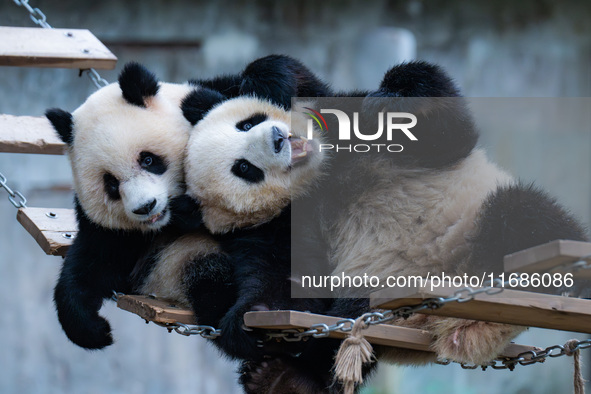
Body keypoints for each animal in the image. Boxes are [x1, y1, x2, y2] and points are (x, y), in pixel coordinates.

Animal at [46, 63, 198, 350]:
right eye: (112, 183)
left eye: (148, 159)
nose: (146, 207)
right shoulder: (111, 231)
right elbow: (92, 264)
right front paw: (94, 329)